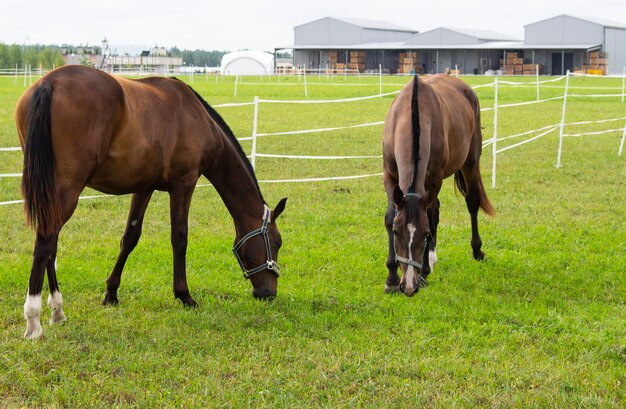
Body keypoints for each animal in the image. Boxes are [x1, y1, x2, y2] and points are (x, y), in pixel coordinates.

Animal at [14, 66, 286, 338]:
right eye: (277, 242)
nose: (268, 293)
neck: (197, 117)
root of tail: (49, 83)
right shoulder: (184, 183)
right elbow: (179, 237)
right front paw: (184, 295)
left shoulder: (143, 188)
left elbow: (130, 238)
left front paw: (111, 293)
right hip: (67, 189)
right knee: (46, 241)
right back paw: (34, 319)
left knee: (51, 244)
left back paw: (57, 310)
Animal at [380, 75, 492, 294]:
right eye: (396, 233)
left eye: (425, 234)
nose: (408, 285)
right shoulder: (389, 175)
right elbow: (390, 217)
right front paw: (391, 278)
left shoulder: (435, 179)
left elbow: (431, 218)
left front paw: (423, 273)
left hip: (471, 163)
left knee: (472, 203)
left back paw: (477, 250)